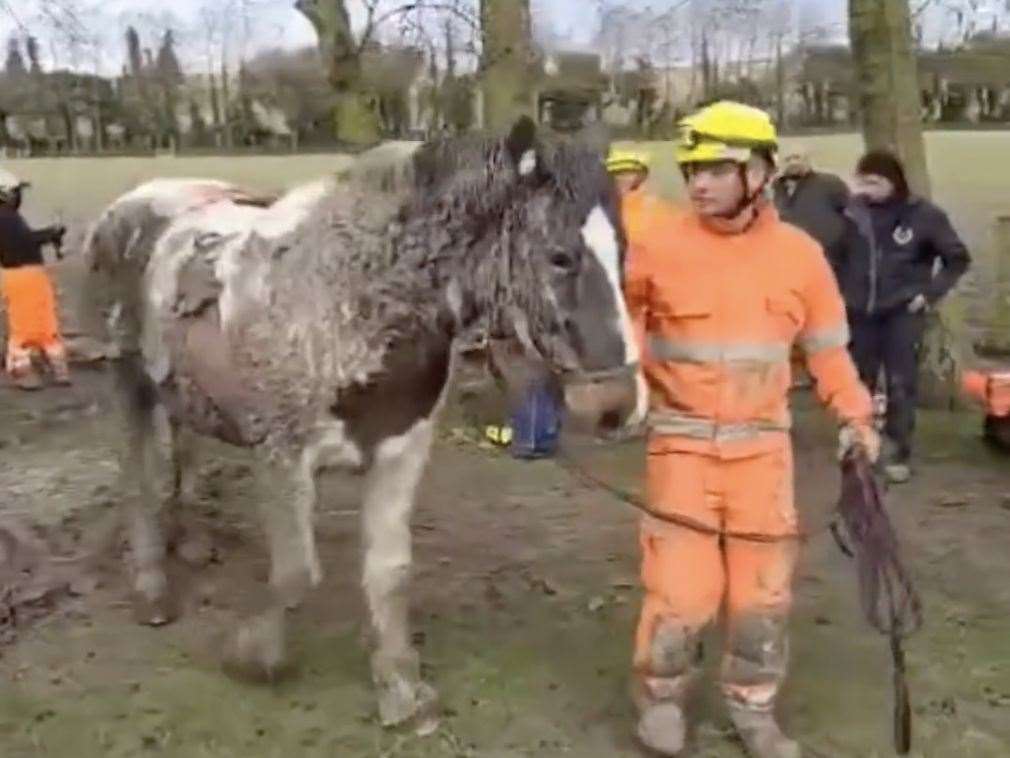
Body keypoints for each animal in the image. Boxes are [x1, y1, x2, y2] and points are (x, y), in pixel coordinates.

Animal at [82, 117, 642, 731]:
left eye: (626, 251)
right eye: (560, 256)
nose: (619, 405)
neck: (355, 297)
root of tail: (134, 203)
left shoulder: (401, 453)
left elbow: (389, 572)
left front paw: (401, 689)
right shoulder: (282, 457)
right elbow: (296, 573)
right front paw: (252, 657)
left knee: (185, 447)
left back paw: (191, 542)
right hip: (129, 382)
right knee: (139, 480)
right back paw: (151, 588)